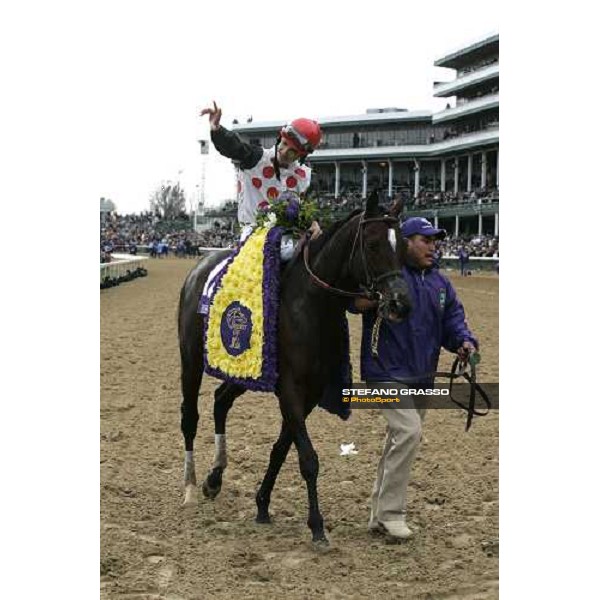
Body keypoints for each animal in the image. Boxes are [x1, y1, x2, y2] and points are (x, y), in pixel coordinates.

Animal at [178, 190, 412, 548]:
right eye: (373, 245)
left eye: (402, 247)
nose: (401, 303)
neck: (310, 305)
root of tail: (198, 270)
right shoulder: (289, 389)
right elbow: (308, 459)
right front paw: (317, 525)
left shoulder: (310, 392)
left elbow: (281, 449)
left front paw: (262, 504)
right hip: (190, 360)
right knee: (190, 416)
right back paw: (190, 485)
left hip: (245, 371)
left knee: (220, 400)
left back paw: (214, 478)